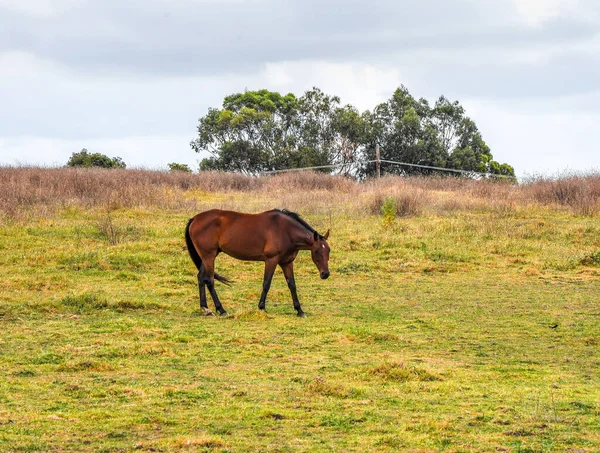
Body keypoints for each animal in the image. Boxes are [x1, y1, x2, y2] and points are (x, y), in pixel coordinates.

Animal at [184, 207, 330, 316]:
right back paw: (221, 310)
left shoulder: (287, 262)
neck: (285, 230)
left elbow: (292, 285)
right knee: (209, 280)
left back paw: (205, 308)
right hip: (209, 256)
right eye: (316, 252)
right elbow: (266, 283)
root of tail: (195, 219)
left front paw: (299, 310)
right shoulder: (271, 260)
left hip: (206, 257)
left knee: (201, 278)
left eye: (328, 250)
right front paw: (261, 307)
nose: (325, 274)